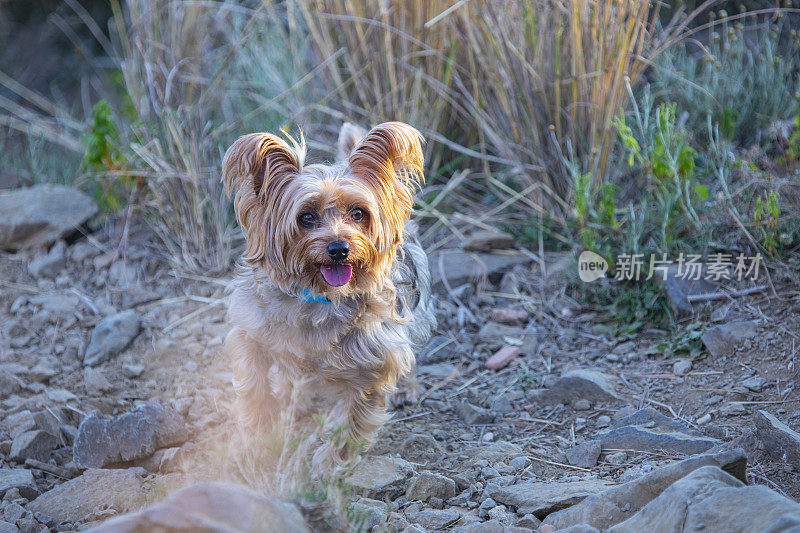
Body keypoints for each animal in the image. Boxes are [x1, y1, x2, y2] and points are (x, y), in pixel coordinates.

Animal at [222, 122, 434, 468]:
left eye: (358, 213)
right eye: (306, 217)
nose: (339, 248)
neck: (319, 297)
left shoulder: (374, 361)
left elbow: (354, 416)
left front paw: (330, 464)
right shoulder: (250, 334)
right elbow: (255, 387)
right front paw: (259, 438)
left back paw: (407, 388)